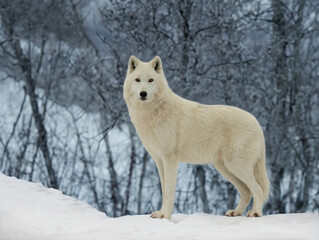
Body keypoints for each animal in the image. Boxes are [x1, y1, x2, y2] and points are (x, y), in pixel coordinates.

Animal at [124, 55, 272, 218]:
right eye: (137, 80)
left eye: (150, 80)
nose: (143, 93)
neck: (154, 111)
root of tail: (256, 122)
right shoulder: (159, 161)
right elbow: (164, 190)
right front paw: (161, 214)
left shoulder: (170, 160)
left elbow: (169, 191)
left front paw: (165, 216)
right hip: (226, 168)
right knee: (246, 191)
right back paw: (236, 212)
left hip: (235, 165)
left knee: (257, 188)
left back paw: (256, 213)